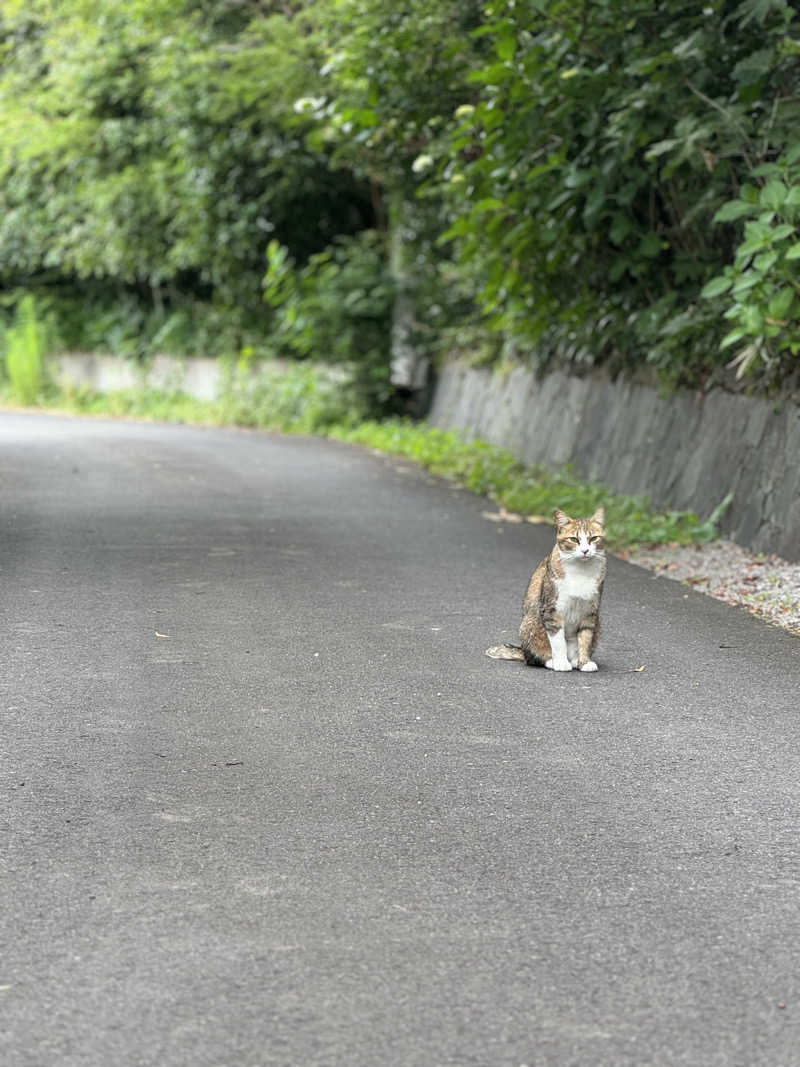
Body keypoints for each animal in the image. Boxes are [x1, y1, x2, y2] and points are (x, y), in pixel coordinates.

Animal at [486, 510, 610, 674]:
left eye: (594, 538)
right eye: (574, 539)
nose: (585, 551)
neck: (581, 570)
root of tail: (522, 650)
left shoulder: (590, 612)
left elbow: (585, 638)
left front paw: (583, 662)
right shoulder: (551, 610)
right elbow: (558, 641)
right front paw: (561, 663)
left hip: (598, 622)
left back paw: (574, 660)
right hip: (530, 623)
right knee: (533, 658)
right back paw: (551, 661)